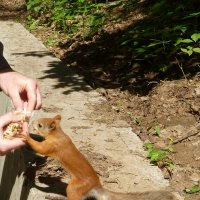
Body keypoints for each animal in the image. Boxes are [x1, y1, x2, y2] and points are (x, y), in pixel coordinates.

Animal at [19, 115, 181, 200]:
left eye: (40, 124)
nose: (33, 123)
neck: (58, 134)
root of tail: (95, 187)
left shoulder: (54, 146)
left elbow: (40, 148)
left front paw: (24, 135)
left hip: (74, 188)